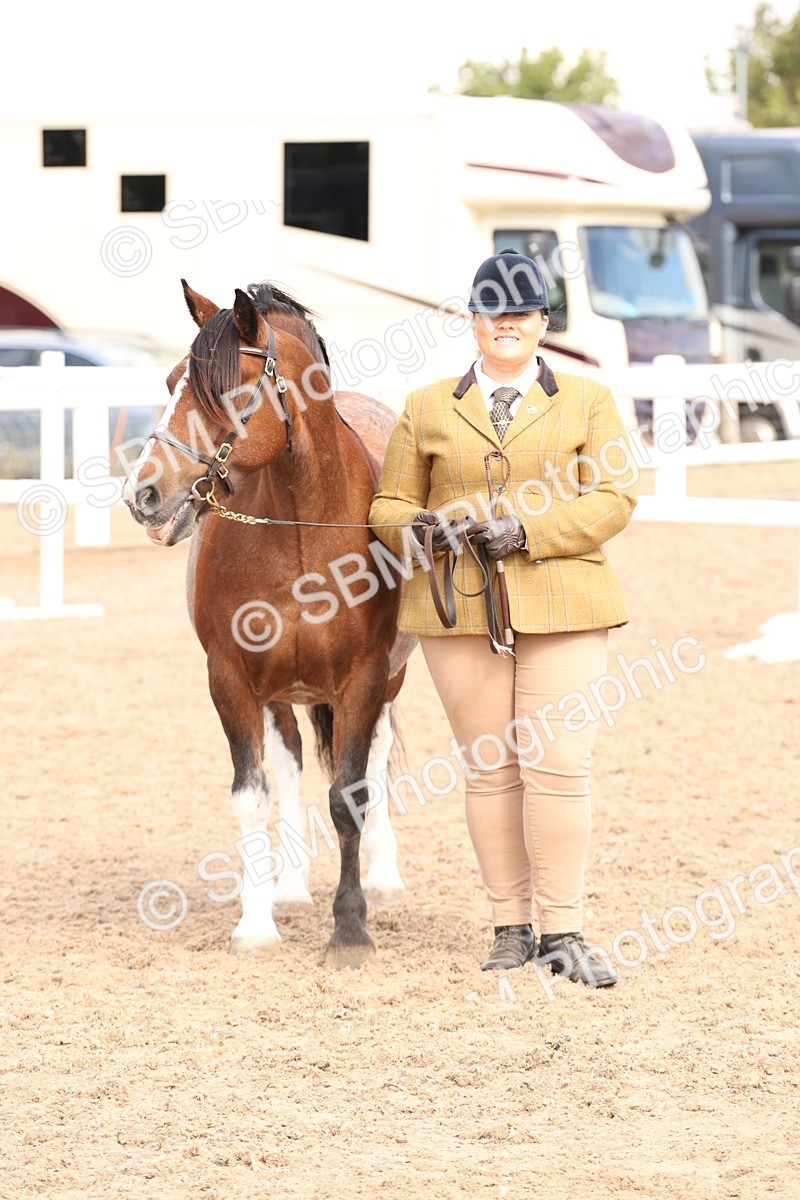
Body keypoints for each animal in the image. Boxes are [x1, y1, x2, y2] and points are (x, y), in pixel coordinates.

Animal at [124, 279, 417, 966]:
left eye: (225, 392)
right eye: (172, 380)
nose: (141, 494)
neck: (303, 528)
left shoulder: (364, 678)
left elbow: (349, 797)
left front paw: (351, 929)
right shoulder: (231, 679)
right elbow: (252, 793)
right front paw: (256, 925)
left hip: (390, 679)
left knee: (378, 755)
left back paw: (384, 876)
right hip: (283, 690)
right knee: (288, 764)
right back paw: (289, 886)